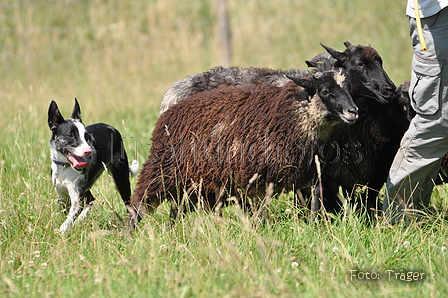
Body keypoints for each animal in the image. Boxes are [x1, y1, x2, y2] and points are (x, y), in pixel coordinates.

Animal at [48, 99, 137, 234]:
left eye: (87, 137)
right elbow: (66, 213)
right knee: (91, 199)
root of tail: (112, 128)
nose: (89, 151)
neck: (65, 167)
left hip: (122, 181)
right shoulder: (62, 196)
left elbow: (68, 220)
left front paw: (63, 230)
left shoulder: (76, 199)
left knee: (129, 206)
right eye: (70, 135)